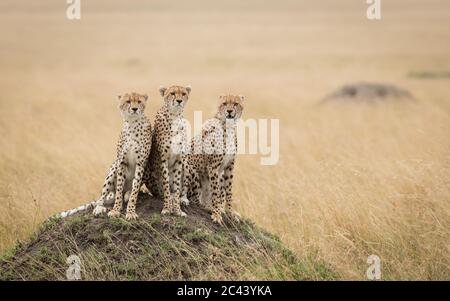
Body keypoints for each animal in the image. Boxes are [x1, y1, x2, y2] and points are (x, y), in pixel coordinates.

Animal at [143, 84, 191, 216]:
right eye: (172, 93)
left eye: (183, 94)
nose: (179, 101)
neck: (174, 116)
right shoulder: (163, 159)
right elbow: (166, 186)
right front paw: (167, 208)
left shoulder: (179, 160)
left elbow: (177, 186)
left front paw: (178, 210)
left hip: (187, 164)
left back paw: (183, 199)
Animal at [181, 95, 244, 224]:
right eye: (224, 103)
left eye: (236, 104)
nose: (229, 111)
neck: (228, 127)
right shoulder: (213, 166)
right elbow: (215, 192)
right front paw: (216, 214)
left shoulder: (230, 166)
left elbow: (228, 191)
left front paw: (230, 213)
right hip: (187, 166)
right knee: (195, 199)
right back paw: (188, 201)